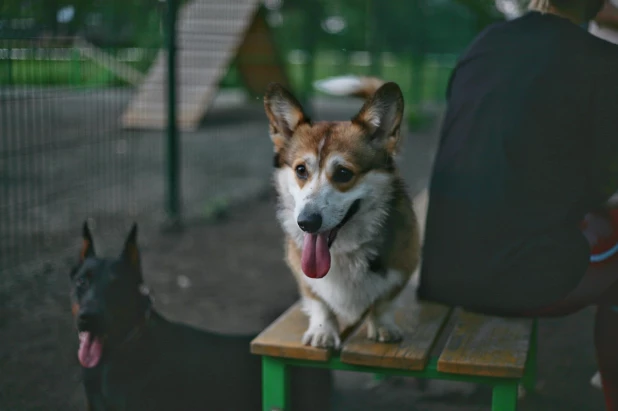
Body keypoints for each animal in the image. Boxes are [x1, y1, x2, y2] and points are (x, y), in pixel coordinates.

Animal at [262, 79, 422, 348]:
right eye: (301, 170)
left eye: (344, 173)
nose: (306, 223)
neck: (343, 251)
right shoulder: (301, 270)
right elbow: (318, 301)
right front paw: (322, 330)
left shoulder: (403, 266)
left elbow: (384, 302)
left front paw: (382, 326)